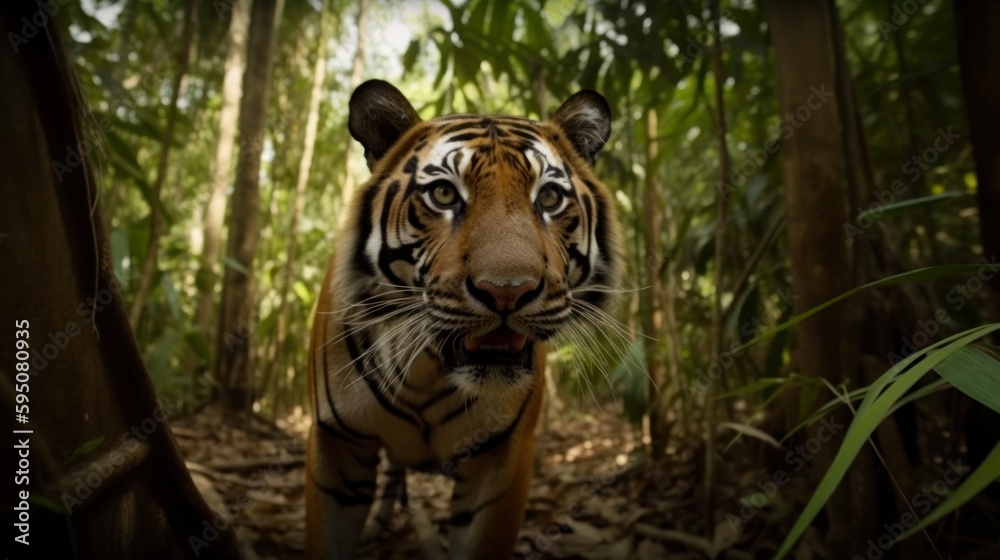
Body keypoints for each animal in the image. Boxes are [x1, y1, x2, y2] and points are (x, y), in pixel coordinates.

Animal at [306, 79, 623, 560]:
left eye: (549, 198)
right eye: (443, 195)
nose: (507, 291)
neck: (428, 369)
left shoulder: (501, 459)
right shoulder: (335, 444)